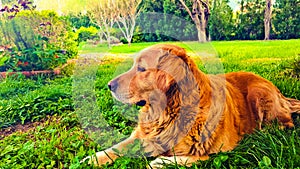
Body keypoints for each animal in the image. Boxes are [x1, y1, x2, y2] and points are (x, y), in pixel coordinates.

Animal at [83, 44, 300, 168]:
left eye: (142, 69)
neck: (168, 113)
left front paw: (159, 161)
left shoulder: (215, 152)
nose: (109, 85)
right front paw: (92, 159)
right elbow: (117, 147)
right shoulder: (142, 135)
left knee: (286, 124)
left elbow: (184, 158)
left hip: (259, 94)